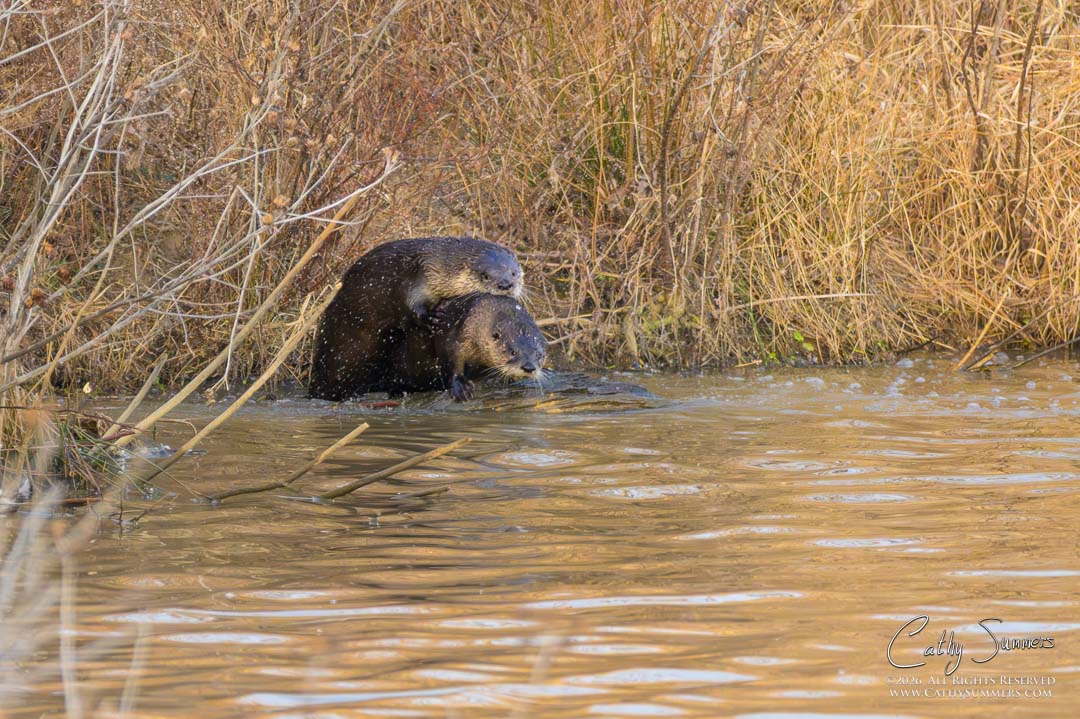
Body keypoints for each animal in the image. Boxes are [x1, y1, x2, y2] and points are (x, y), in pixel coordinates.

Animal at [309, 237, 523, 401]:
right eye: (485, 275)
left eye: (513, 272)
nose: (506, 284)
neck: (439, 265)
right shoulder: (419, 274)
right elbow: (410, 302)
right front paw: (432, 317)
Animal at [384, 293, 547, 402]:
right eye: (513, 352)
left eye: (539, 355)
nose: (529, 367)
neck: (480, 320)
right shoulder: (458, 336)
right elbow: (453, 361)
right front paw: (460, 389)